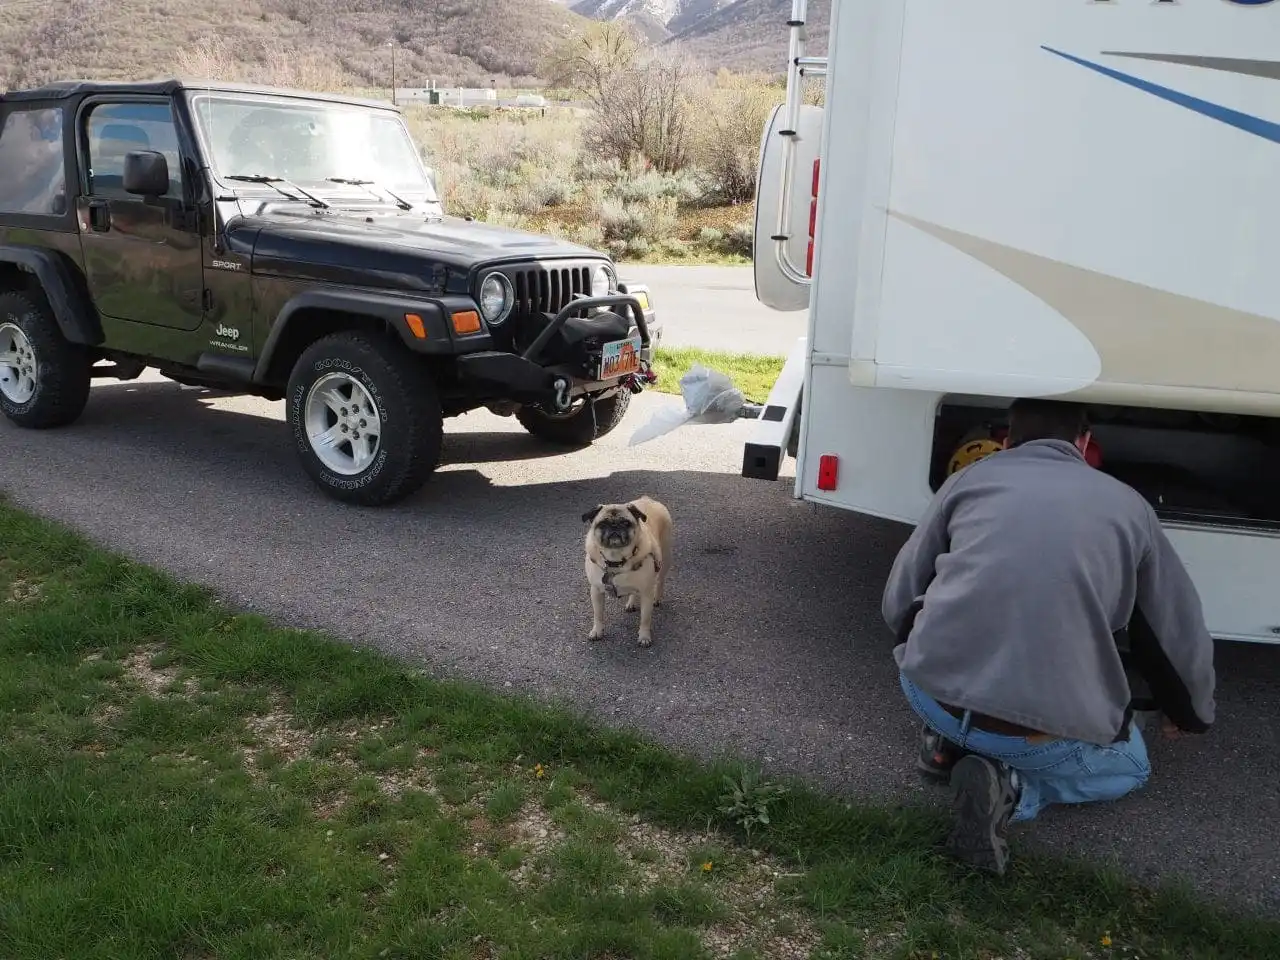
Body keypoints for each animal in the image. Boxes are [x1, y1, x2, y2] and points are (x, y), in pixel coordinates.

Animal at [583, 496, 675, 647]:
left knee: (660, 580)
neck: (616, 560)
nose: (614, 526)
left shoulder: (646, 592)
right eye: (603, 523)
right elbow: (598, 614)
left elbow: (645, 618)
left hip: (665, 559)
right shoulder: (596, 591)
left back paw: (657, 598)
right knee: (633, 591)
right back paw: (631, 603)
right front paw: (597, 631)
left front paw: (644, 636)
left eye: (626, 523)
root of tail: (648, 499)